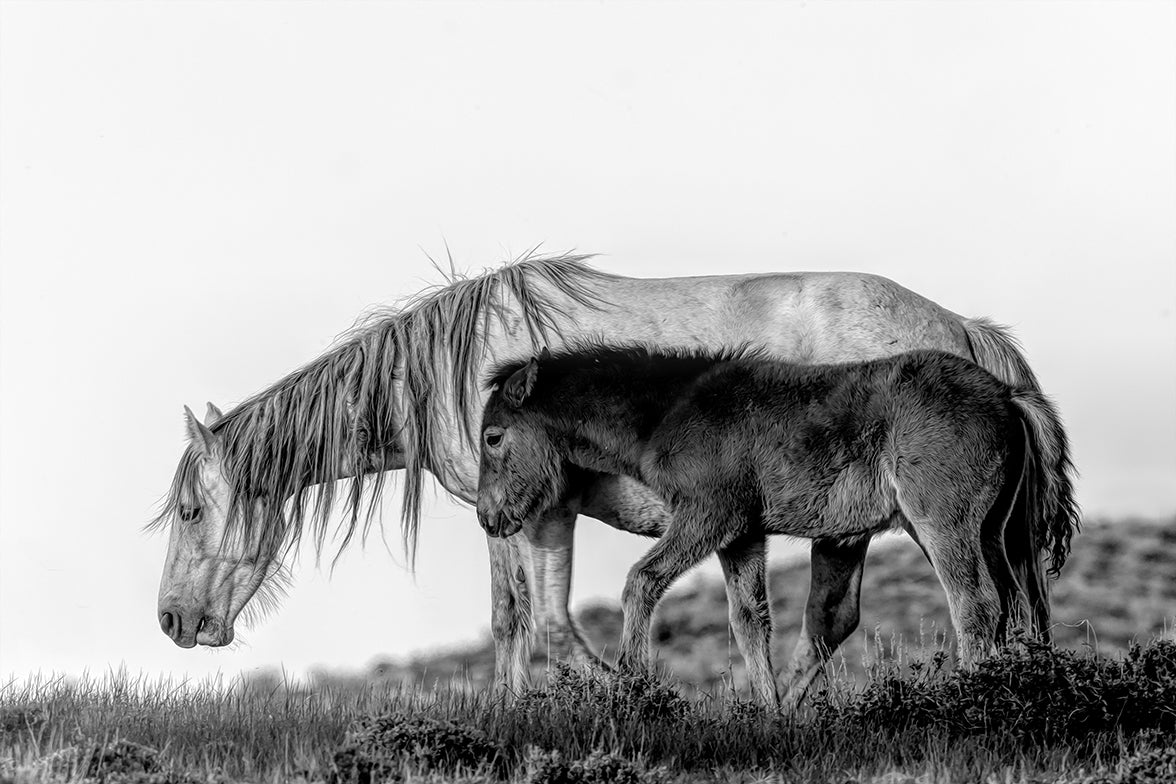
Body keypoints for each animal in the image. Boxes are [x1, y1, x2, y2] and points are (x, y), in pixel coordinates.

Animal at [154, 255, 1048, 700]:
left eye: (192, 510)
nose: (172, 621)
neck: (450, 368)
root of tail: (967, 335)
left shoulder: (545, 511)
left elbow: (553, 624)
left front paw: (630, 695)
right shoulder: (500, 518)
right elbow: (509, 622)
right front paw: (510, 716)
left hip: (894, 525)